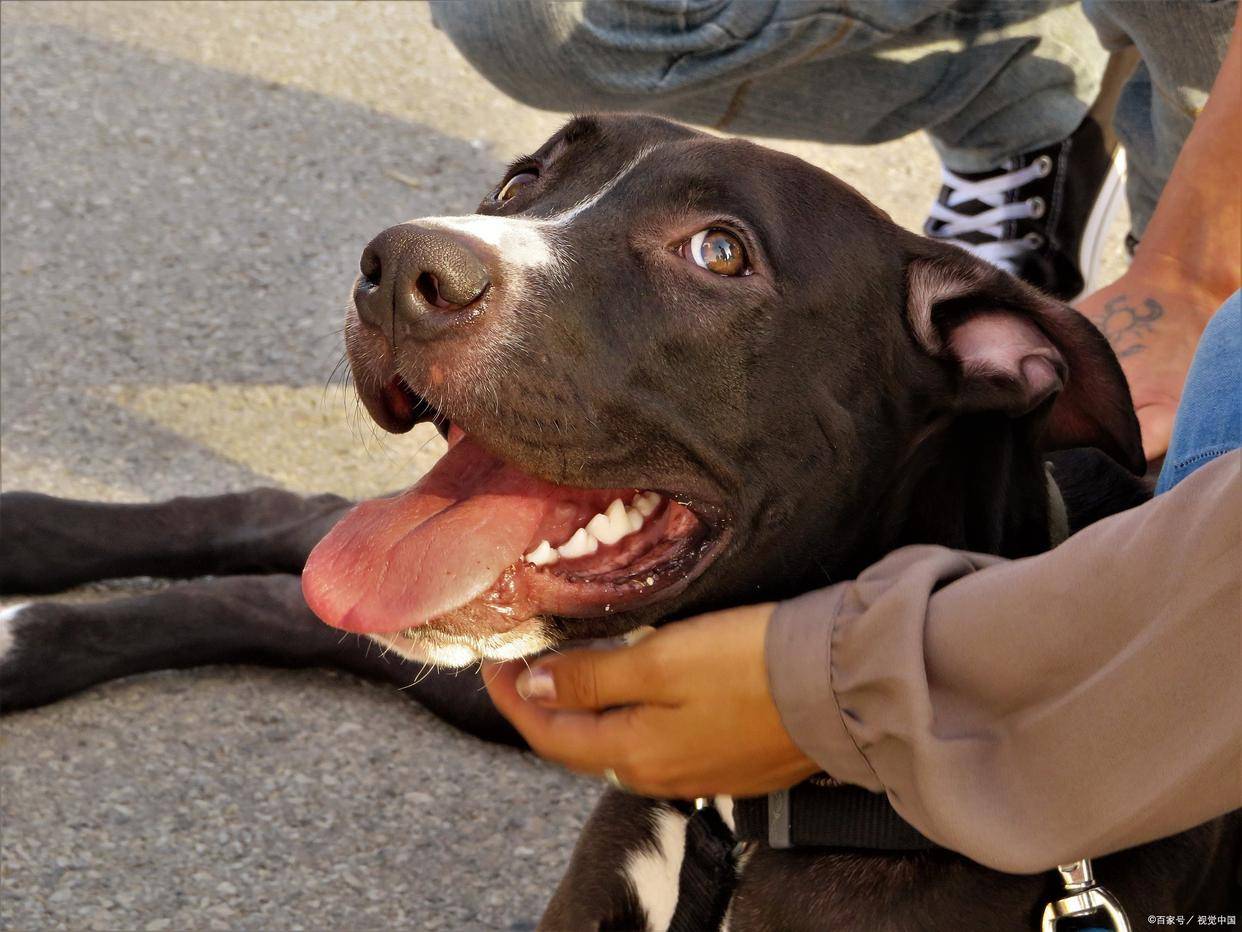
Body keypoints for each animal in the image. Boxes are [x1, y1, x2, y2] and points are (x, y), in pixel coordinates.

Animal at [4, 116, 1237, 932]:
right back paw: (30, 578)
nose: (401, 268)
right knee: (298, 536)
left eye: (720, 251)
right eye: (520, 181)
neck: (745, 823)